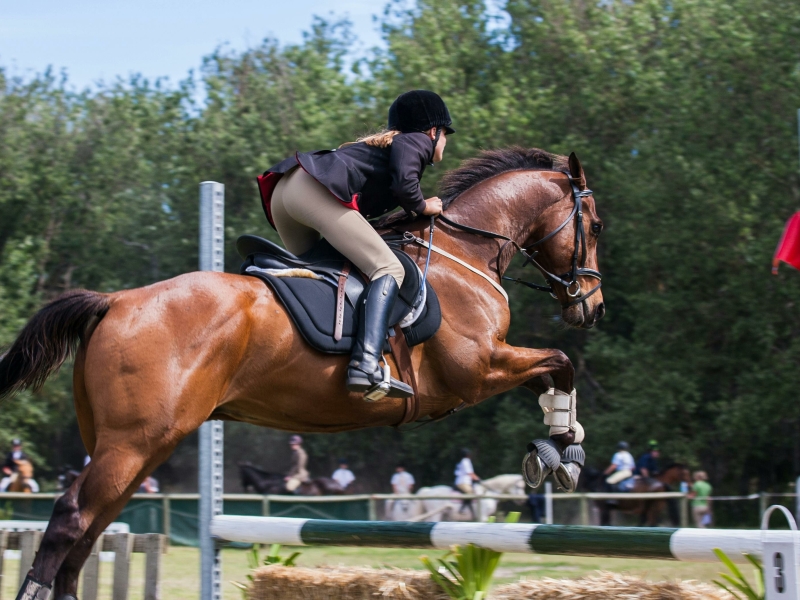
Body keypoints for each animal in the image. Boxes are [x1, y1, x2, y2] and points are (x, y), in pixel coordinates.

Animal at [0, 146, 604, 600]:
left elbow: (552, 372)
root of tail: (116, 302)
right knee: (72, 518)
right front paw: (561, 452)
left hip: (135, 446)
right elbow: (559, 362)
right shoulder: (475, 371)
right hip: (132, 442)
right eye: (595, 225)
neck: (465, 253)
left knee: (92, 529)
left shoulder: (486, 369)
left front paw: (562, 442)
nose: (591, 307)